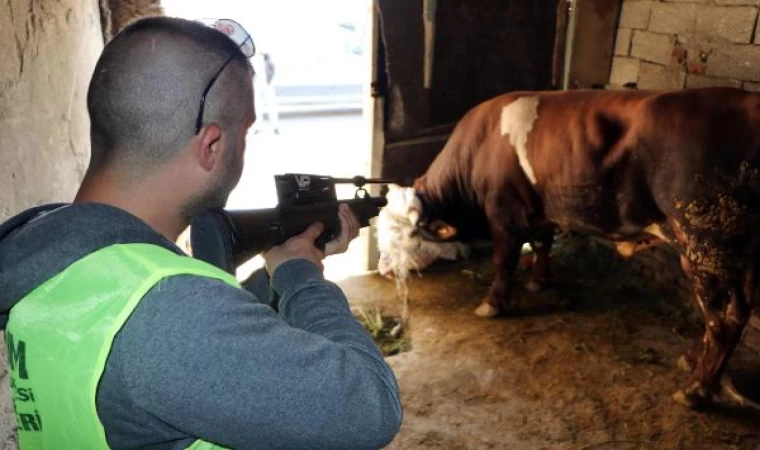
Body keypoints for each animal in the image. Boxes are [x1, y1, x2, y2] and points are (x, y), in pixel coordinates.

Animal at [398, 87, 760, 412]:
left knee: (720, 322)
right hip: (736, 257)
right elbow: (542, 244)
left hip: (705, 247)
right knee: (737, 314)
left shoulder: (503, 209)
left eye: (405, 232)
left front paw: (492, 304)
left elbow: (504, 259)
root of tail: (747, 101)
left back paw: (696, 391)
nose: (394, 272)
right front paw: (538, 281)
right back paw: (693, 361)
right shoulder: (540, 210)